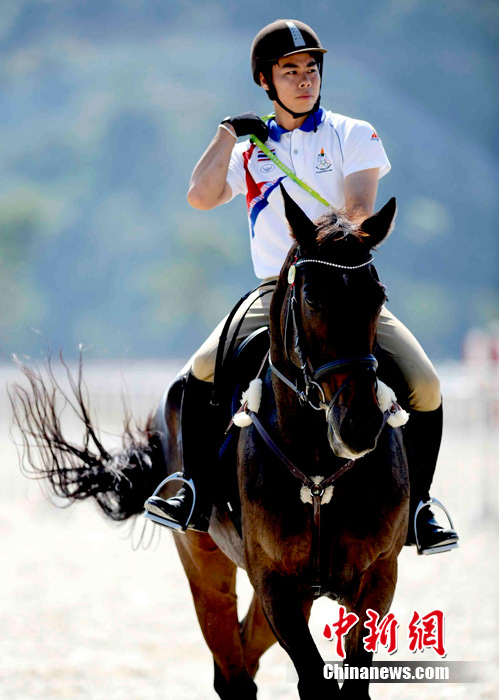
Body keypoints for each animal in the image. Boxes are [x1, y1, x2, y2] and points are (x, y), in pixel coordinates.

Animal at [11, 190, 409, 700]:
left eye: (377, 297)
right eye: (311, 297)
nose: (358, 426)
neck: (319, 469)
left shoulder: (377, 574)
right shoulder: (275, 581)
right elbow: (313, 681)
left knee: (243, 656)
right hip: (204, 560)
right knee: (232, 670)